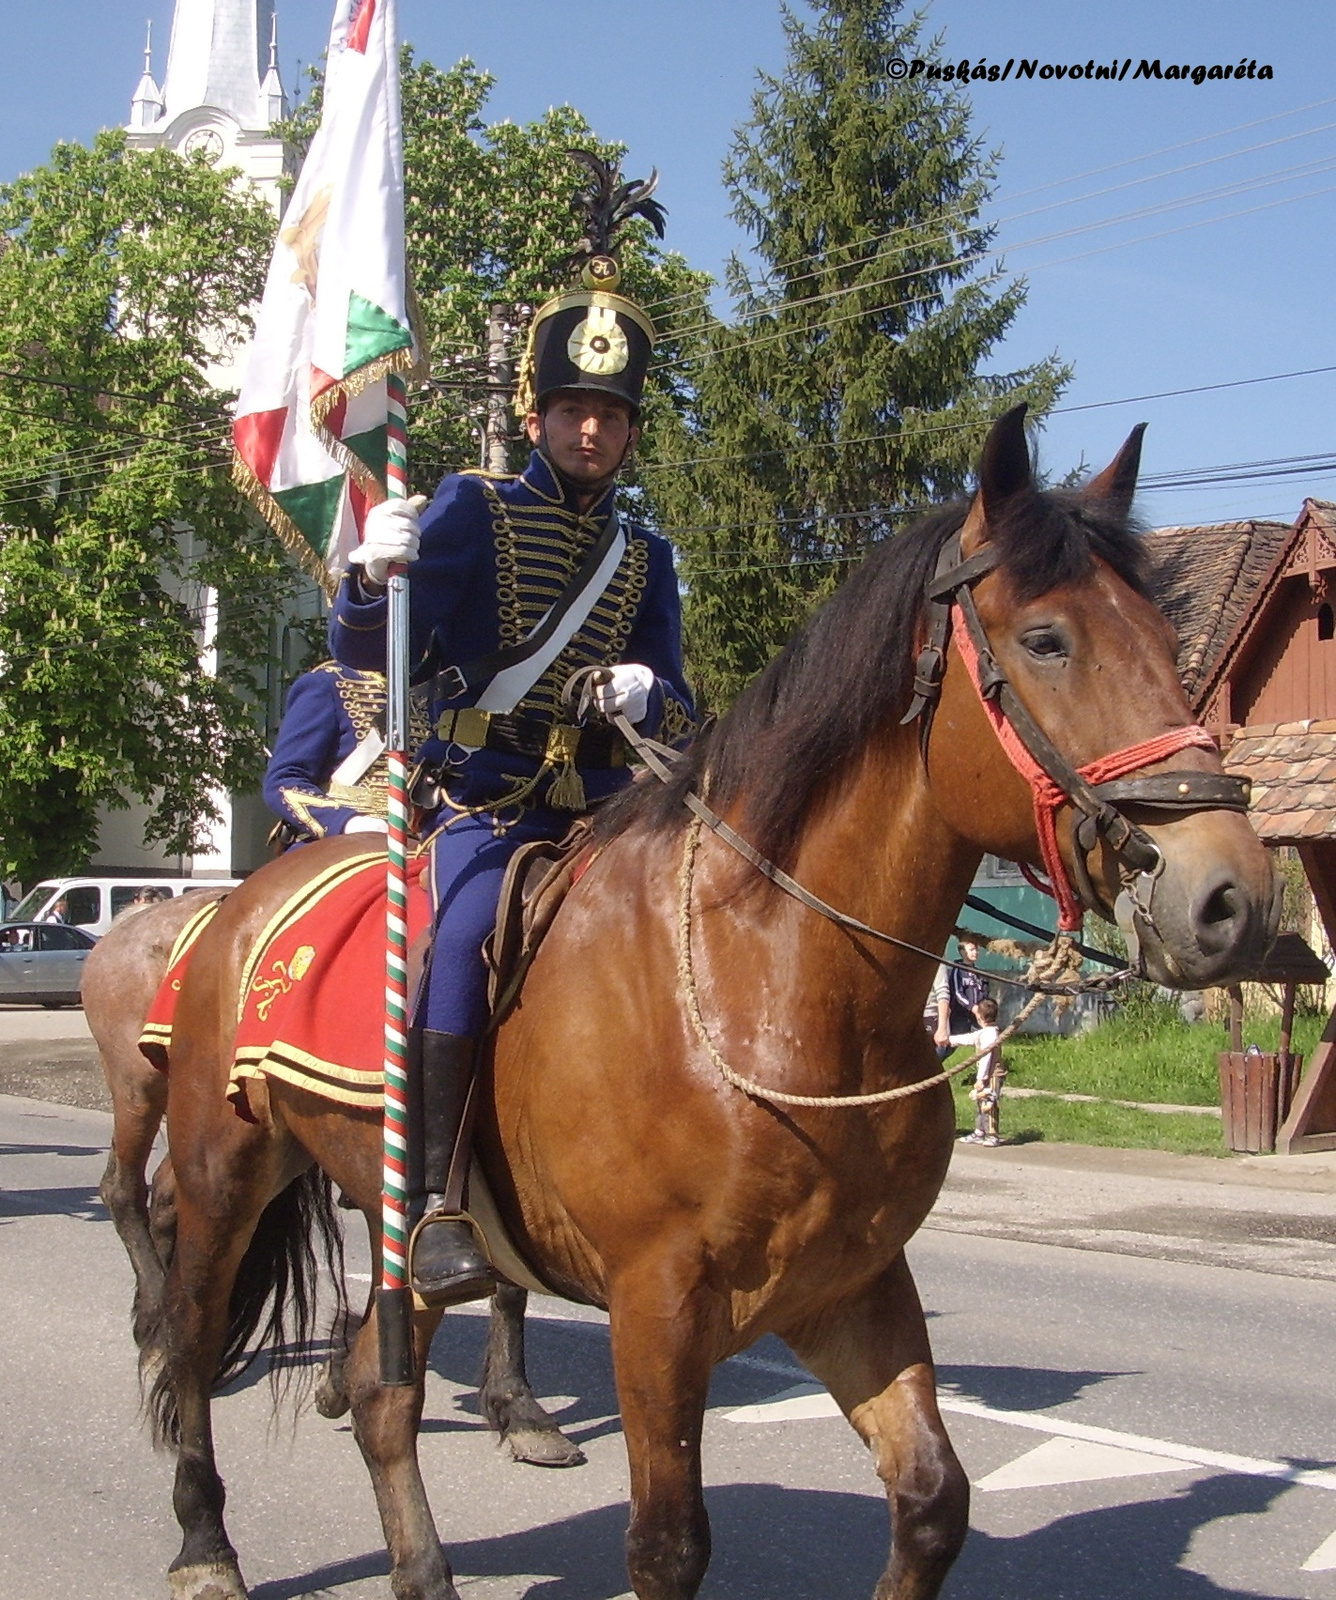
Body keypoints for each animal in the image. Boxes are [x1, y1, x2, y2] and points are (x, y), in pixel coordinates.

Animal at [82, 864, 585, 1465]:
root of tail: (126, 926)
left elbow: (497, 1277)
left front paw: (517, 1408)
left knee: (165, 1198)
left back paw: (154, 1321)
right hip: (143, 1089)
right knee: (124, 1189)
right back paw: (160, 1324)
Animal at [144, 412, 1273, 1600]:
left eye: (1165, 635)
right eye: (1048, 640)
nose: (1231, 898)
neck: (779, 982)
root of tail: (243, 903)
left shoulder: (851, 1284)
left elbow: (931, 1500)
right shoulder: (659, 1309)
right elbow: (668, 1543)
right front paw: (388, 545)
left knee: (378, 1391)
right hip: (225, 1176)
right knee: (191, 1345)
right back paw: (205, 1543)